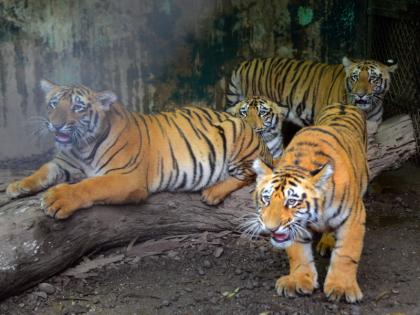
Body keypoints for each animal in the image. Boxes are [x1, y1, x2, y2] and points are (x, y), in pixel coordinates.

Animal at [7, 79, 272, 220]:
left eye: (78, 108)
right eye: (53, 104)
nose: (56, 124)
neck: (82, 146)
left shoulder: (126, 177)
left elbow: (90, 185)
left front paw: (58, 199)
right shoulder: (63, 162)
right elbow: (43, 170)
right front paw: (17, 186)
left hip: (238, 139)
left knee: (249, 176)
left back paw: (213, 192)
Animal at [249, 103, 368, 304]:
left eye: (292, 201)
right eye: (266, 199)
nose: (271, 228)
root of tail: (343, 104)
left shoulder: (354, 216)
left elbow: (346, 253)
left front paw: (342, 287)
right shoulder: (295, 226)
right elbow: (298, 253)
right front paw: (299, 280)